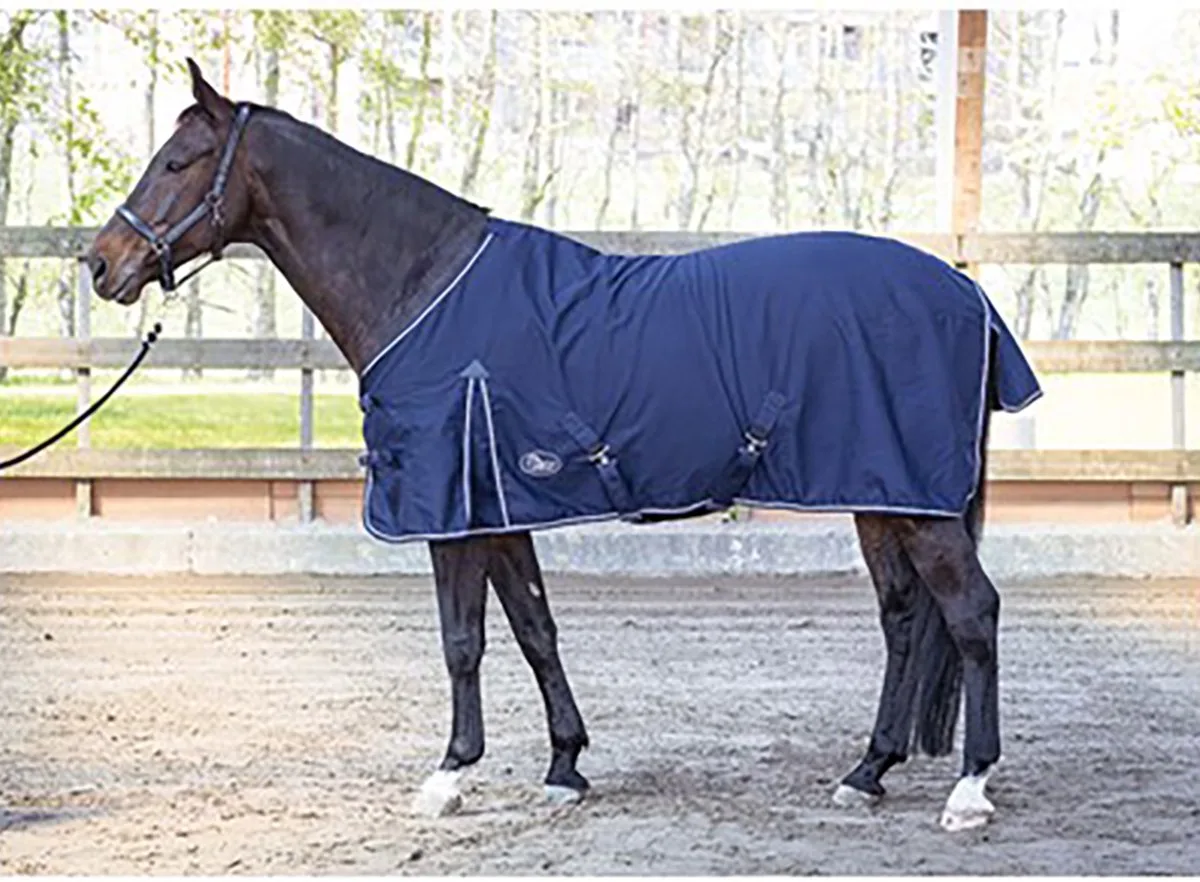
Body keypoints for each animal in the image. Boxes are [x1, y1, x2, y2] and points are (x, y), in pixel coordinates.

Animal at [85, 59, 1041, 833]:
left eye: (177, 162)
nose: (102, 263)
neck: (420, 284)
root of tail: (964, 293)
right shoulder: (498, 508)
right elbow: (535, 628)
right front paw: (564, 765)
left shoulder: (452, 514)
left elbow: (462, 641)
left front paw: (448, 776)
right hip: (882, 496)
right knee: (905, 619)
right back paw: (866, 771)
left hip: (915, 506)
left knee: (972, 614)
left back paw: (970, 789)